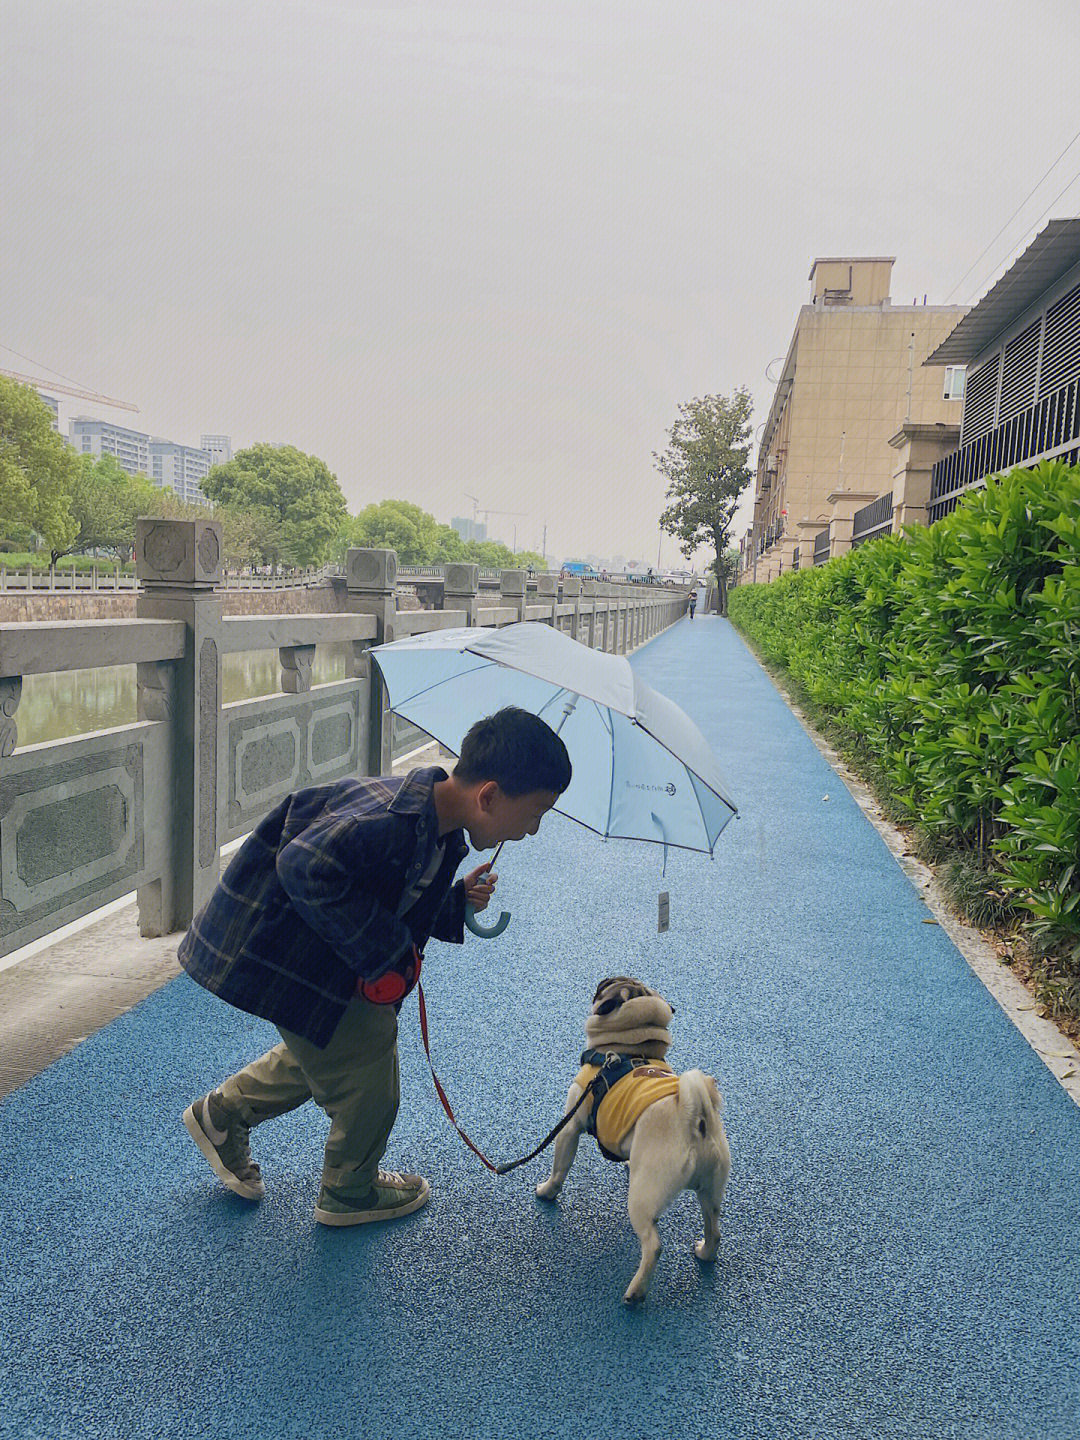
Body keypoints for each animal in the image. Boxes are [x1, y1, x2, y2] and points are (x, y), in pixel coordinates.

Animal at [538, 979, 731, 1307]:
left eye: (605, 986)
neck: (628, 1047)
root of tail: (695, 1120)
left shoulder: (570, 1127)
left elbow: (559, 1168)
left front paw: (547, 1192)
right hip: (711, 1192)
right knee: (714, 1229)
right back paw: (705, 1253)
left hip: (641, 1199)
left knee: (653, 1245)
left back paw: (636, 1293)